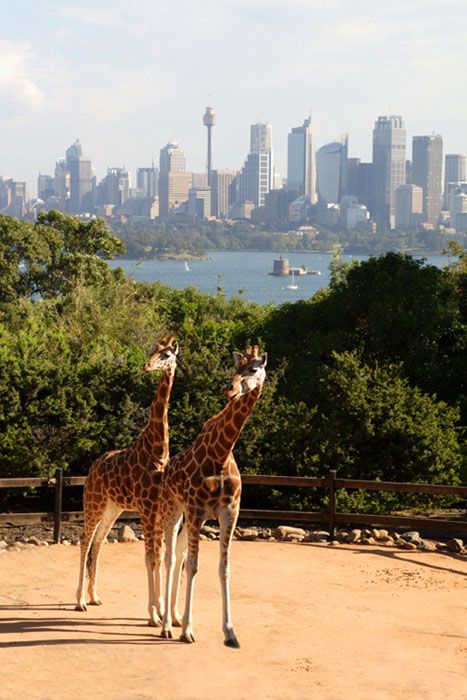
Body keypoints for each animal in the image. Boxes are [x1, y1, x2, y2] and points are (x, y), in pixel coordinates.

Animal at [75, 336, 181, 628]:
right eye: (154, 350)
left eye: (167, 354)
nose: (146, 366)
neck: (158, 450)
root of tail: (93, 467)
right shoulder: (146, 508)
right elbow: (151, 557)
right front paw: (154, 615)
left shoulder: (156, 509)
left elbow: (158, 556)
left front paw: (161, 612)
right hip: (94, 502)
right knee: (85, 539)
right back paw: (79, 601)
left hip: (114, 507)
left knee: (98, 541)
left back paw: (94, 597)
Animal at [155, 344, 268, 644]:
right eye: (235, 367)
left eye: (253, 368)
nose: (230, 388)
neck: (221, 453)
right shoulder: (196, 510)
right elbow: (193, 566)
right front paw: (188, 631)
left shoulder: (228, 513)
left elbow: (223, 568)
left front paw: (230, 632)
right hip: (172, 510)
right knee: (170, 558)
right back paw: (166, 626)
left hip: (191, 517)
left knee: (179, 553)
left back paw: (174, 617)